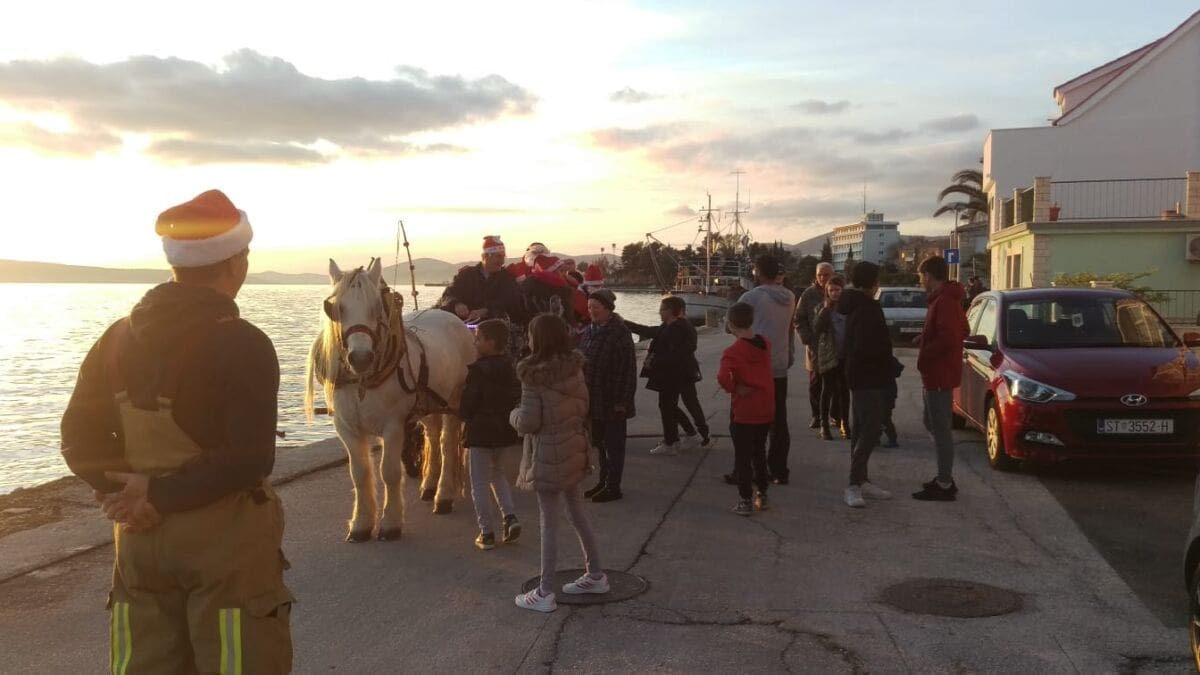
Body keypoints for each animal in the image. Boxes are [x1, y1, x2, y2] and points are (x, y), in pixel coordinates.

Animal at [305, 258, 476, 542]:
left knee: (446, 443)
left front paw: (391, 523)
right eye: (338, 308)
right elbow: (359, 473)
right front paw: (361, 523)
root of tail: (452, 316)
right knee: (432, 435)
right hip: (429, 402)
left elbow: (390, 472)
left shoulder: (393, 425)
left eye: (377, 307)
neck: (363, 382)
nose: (360, 358)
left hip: (455, 397)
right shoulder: (346, 427)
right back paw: (429, 485)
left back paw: (443, 495)